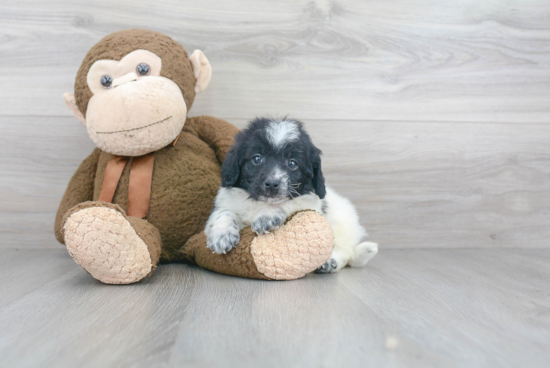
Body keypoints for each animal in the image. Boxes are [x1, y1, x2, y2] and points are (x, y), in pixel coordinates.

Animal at [204, 118, 380, 274]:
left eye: (292, 163)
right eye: (257, 158)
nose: (272, 183)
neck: (260, 203)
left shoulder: (309, 204)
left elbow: (289, 202)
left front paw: (268, 216)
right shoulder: (225, 203)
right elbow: (224, 212)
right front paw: (221, 235)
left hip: (342, 226)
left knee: (345, 252)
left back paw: (330, 262)